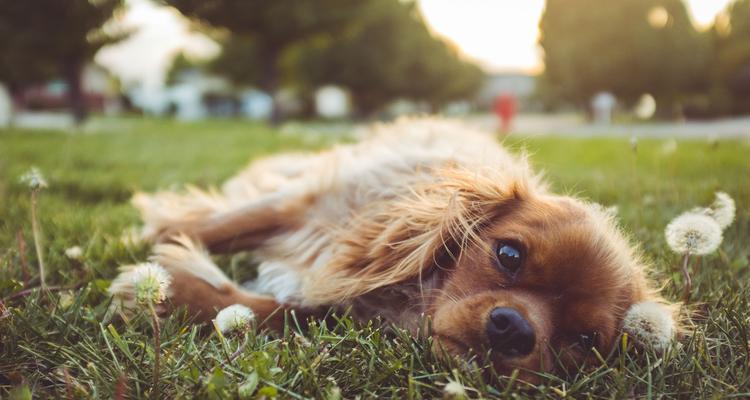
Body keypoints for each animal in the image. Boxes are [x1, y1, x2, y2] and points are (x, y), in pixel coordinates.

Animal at [108, 117, 680, 380]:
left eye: (583, 340)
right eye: (509, 255)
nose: (514, 329)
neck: (411, 292)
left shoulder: (332, 303)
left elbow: (269, 312)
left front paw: (172, 293)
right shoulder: (303, 206)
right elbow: (218, 226)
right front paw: (155, 258)